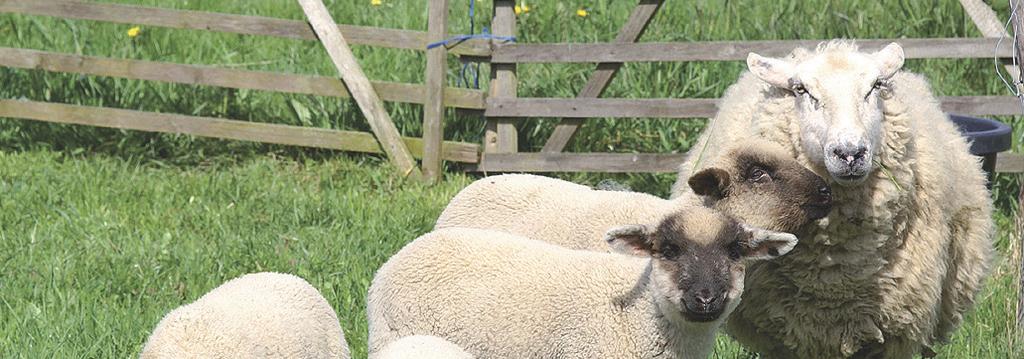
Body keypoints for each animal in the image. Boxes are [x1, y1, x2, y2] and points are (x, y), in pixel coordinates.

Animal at [671, 40, 991, 357]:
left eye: (875, 86)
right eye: (801, 89)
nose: (850, 153)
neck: (838, 272)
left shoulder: (892, 333)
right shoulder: (781, 335)